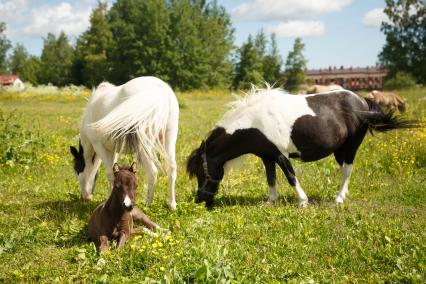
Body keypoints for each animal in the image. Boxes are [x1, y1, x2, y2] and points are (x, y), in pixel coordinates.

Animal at [69, 76, 178, 210]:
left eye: (77, 169)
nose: (84, 197)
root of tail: (160, 89)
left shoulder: (99, 146)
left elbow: (110, 173)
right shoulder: (113, 150)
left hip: (143, 145)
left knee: (152, 172)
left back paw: (148, 204)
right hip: (169, 137)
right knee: (171, 168)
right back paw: (172, 205)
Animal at [187, 86, 416, 206]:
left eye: (201, 171)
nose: (200, 199)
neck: (256, 122)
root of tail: (362, 101)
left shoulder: (281, 155)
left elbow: (290, 177)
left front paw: (303, 202)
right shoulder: (267, 157)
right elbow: (271, 179)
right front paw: (271, 201)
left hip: (350, 148)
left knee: (347, 171)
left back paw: (339, 198)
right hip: (339, 150)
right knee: (344, 170)